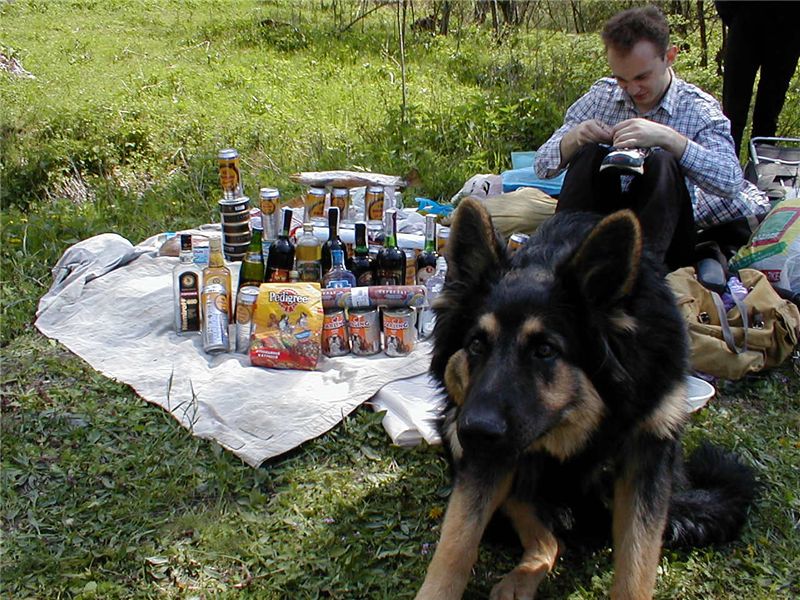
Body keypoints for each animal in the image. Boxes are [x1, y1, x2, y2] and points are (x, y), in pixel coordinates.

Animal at [416, 198, 756, 599]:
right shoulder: (487, 452)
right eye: (476, 344)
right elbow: (455, 546)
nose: (475, 431)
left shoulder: (649, 450)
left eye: (545, 350)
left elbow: (637, 562)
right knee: (550, 538)